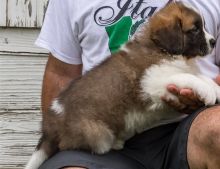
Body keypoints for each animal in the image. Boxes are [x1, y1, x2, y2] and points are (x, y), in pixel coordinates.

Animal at [24, 1, 219, 169]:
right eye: (195, 29)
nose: (214, 42)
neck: (162, 49)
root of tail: (51, 125)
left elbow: (200, 76)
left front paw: (214, 88)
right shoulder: (151, 82)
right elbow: (186, 76)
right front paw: (207, 91)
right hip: (97, 133)